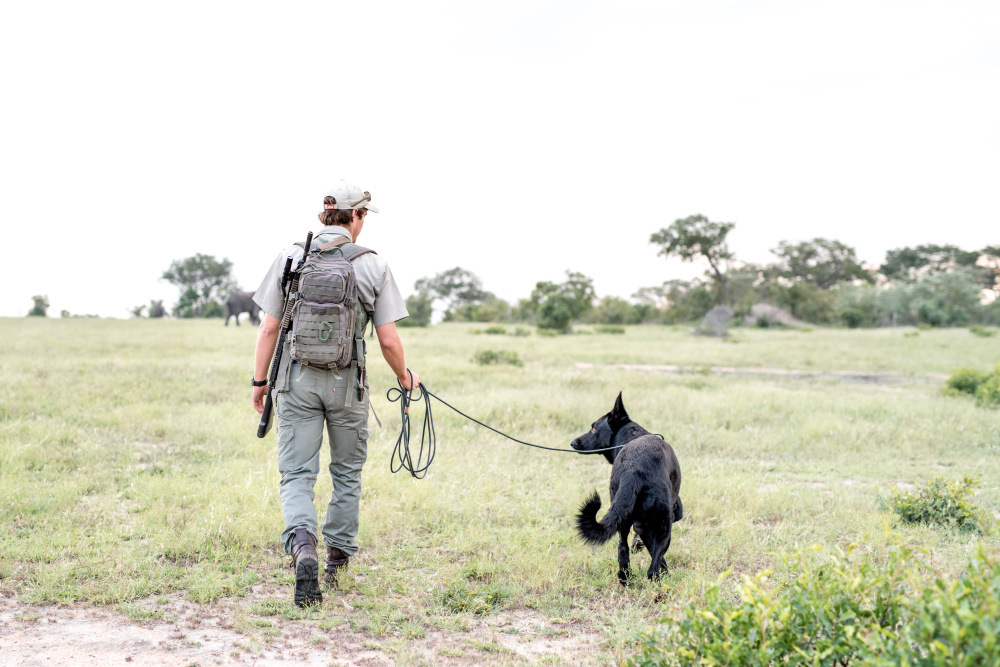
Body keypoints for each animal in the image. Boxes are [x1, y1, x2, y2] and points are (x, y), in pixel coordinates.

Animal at [576, 394, 684, 588]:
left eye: (594, 429)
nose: (573, 442)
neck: (630, 436)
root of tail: (633, 470)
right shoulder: (674, 509)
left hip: (623, 516)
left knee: (623, 549)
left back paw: (625, 578)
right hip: (664, 525)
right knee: (653, 567)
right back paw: (659, 584)